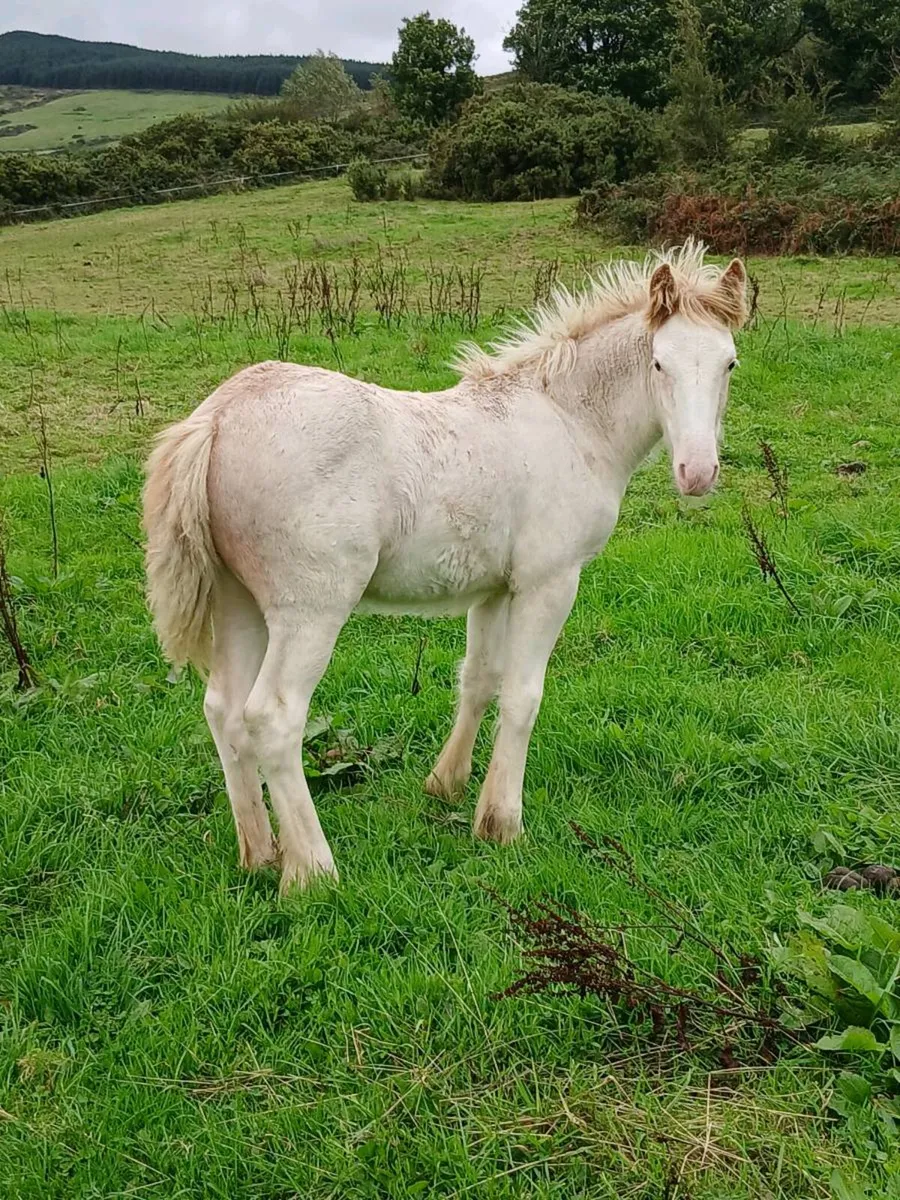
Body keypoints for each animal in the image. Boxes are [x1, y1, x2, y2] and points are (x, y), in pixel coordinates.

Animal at [143, 240, 748, 894]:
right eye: (659, 364)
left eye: (730, 364)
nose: (697, 473)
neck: (569, 422)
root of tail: (217, 418)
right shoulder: (550, 581)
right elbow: (523, 694)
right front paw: (503, 822)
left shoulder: (494, 588)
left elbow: (479, 679)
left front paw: (447, 786)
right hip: (310, 609)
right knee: (273, 717)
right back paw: (313, 870)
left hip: (238, 600)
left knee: (224, 711)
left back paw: (260, 854)